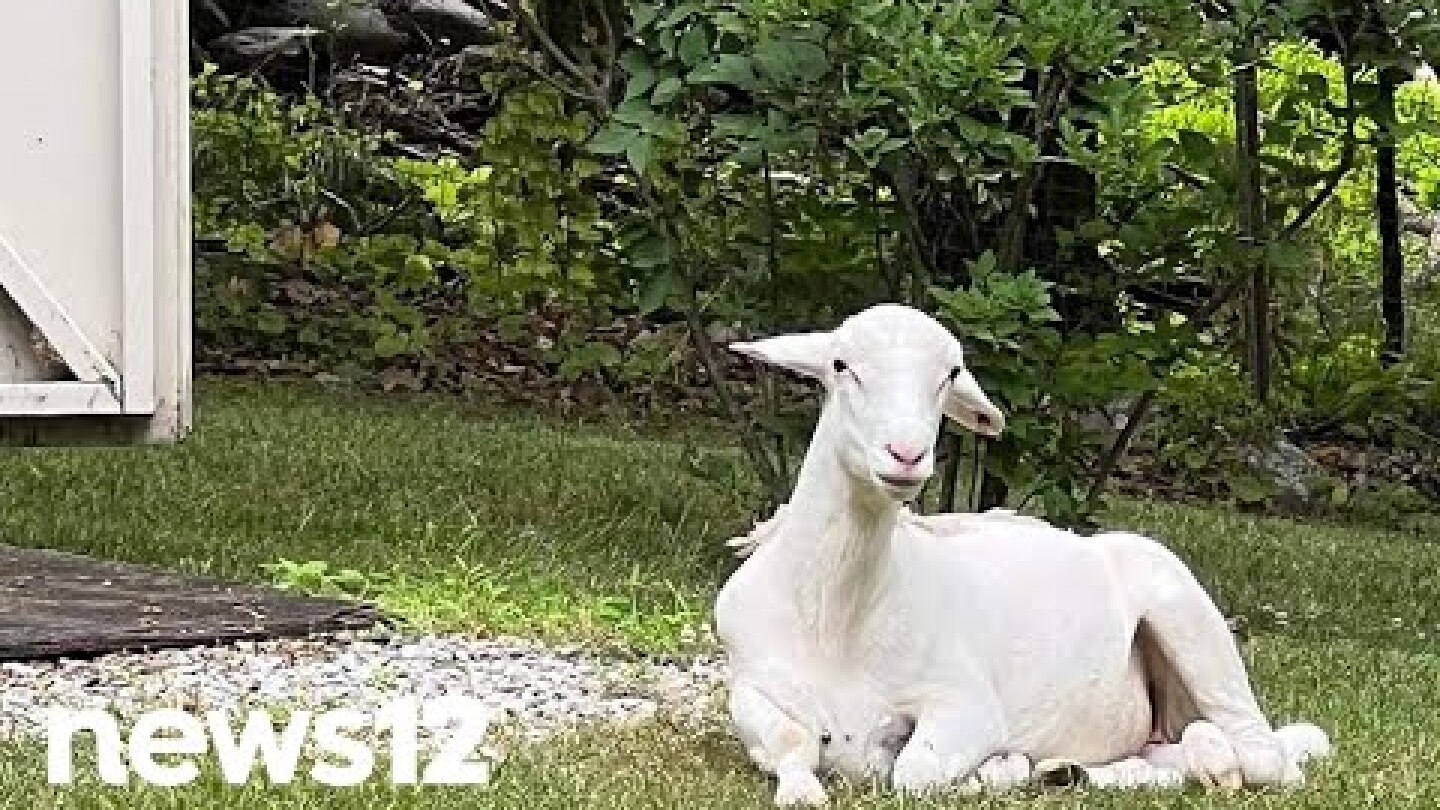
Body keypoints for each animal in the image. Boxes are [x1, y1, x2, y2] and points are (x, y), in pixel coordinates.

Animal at [714, 304, 1330, 806]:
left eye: (950, 375)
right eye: (841, 365)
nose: (906, 454)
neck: (835, 615)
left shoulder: (966, 703)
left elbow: (913, 772)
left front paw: (985, 771)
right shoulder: (749, 689)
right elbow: (791, 746)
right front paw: (804, 785)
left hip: (1190, 617)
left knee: (1266, 758)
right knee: (1162, 759)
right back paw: (1066, 771)